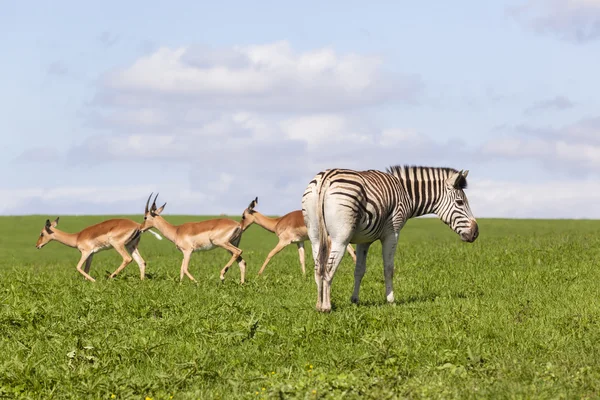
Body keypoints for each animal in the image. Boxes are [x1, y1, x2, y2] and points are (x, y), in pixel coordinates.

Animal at [302, 165, 480, 312]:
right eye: (460, 202)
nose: (476, 233)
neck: (406, 193)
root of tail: (325, 179)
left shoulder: (364, 240)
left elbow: (359, 270)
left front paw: (355, 299)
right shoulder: (392, 233)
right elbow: (388, 269)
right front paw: (391, 300)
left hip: (315, 236)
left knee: (318, 268)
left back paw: (318, 305)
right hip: (341, 237)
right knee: (328, 268)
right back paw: (326, 307)